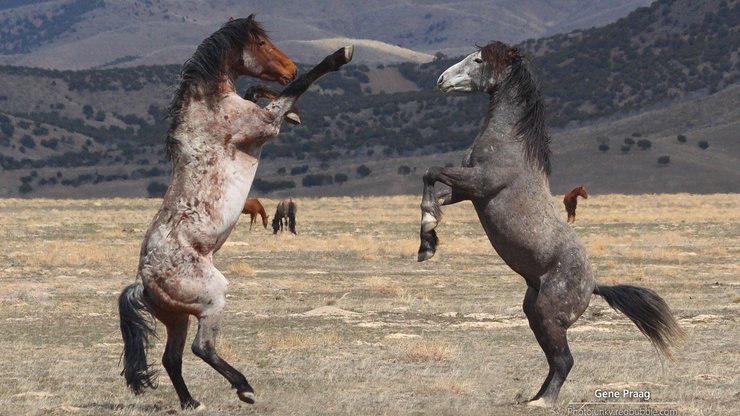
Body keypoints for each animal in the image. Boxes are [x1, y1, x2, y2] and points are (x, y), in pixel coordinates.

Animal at [118, 15, 352, 410]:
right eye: (260, 42)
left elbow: (262, 90)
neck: (209, 108)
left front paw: (292, 110)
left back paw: (192, 403)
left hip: (178, 317)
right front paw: (339, 55)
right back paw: (244, 387)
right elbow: (300, 86)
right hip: (211, 299)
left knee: (172, 358)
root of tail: (143, 284)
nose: (289, 66)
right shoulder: (264, 126)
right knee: (201, 348)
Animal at [416, 41, 684, 406]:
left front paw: (429, 232)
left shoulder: (480, 184)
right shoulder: (466, 191)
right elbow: (434, 190)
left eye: (479, 60)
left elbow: (430, 172)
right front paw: (427, 242)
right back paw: (534, 397)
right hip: (535, 314)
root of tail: (593, 284)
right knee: (554, 359)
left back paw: (544, 402)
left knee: (565, 360)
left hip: (548, 314)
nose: (441, 80)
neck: (510, 142)